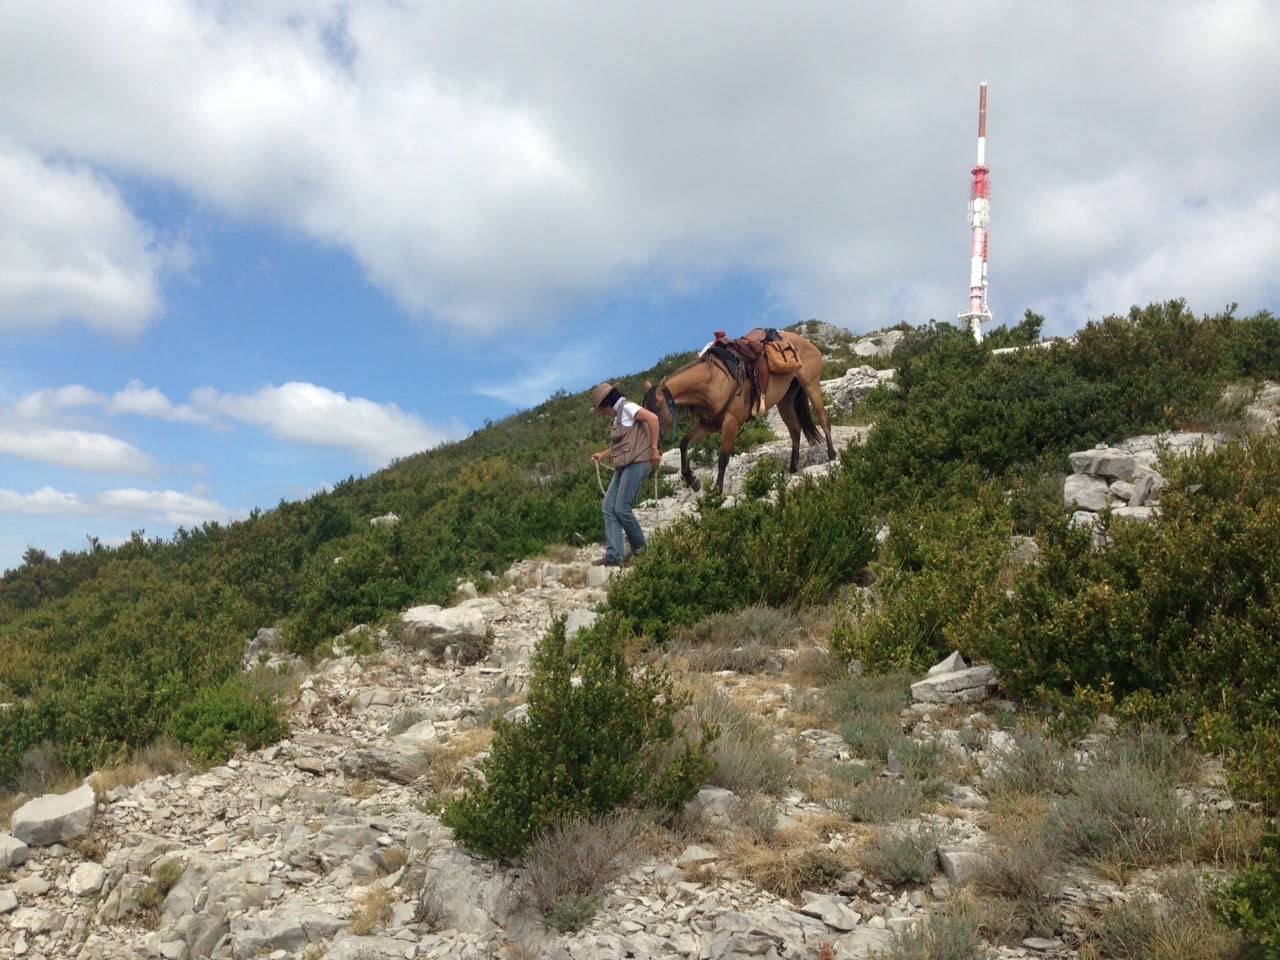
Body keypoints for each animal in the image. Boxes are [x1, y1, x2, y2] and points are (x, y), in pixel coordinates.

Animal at [642, 330, 836, 493]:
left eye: (657, 412)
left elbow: (723, 457)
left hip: (811, 386)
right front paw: (692, 480)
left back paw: (831, 455)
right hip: (785, 400)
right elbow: (684, 443)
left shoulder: (730, 423)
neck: (713, 381)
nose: (653, 447)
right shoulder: (707, 425)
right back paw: (793, 468)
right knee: (795, 430)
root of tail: (806, 342)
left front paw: (717, 490)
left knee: (823, 419)